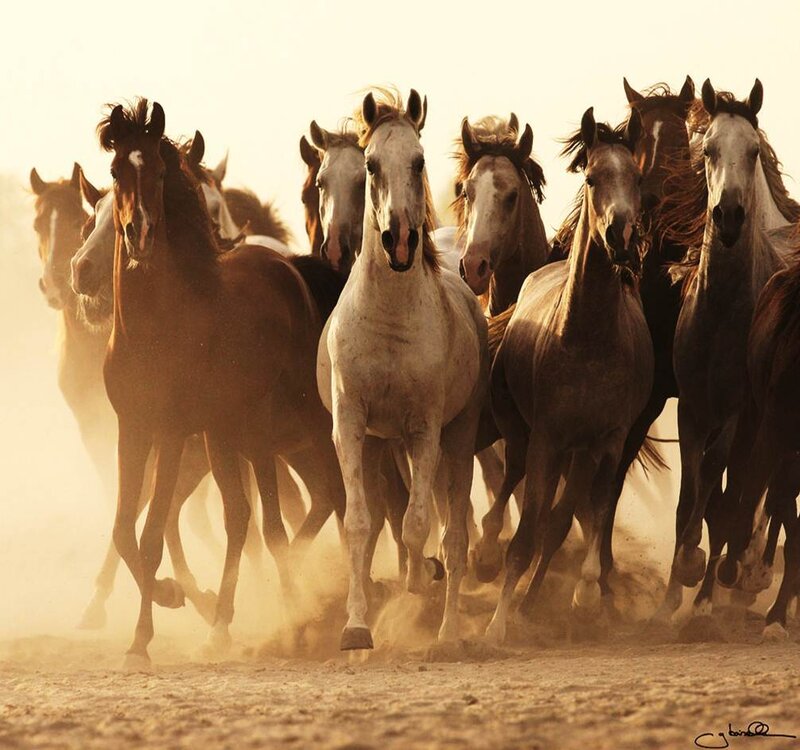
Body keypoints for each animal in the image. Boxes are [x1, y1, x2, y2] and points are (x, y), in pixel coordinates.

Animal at [98, 99, 345, 666]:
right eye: (117, 171)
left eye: (159, 172)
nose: (139, 233)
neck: (153, 330)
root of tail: (290, 268)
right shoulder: (131, 429)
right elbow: (124, 530)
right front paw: (173, 598)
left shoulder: (169, 433)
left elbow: (149, 534)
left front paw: (142, 638)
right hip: (229, 435)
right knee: (244, 517)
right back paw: (225, 623)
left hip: (299, 426)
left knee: (335, 500)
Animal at [317, 89, 489, 649]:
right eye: (371, 164)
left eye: (417, 161)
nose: (398, 240)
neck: (389, 319)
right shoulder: (352, 425)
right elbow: (360, 524)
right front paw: (355, 627)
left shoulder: (426, 427)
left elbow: (418, 525)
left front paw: (419, 582)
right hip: (384, 443)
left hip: (456, 438)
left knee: (453, 534)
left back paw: (448, 631)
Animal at [484, 107, 652, 643]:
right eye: (594, 177)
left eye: (637, 177)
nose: (620, 236)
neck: (586, 339)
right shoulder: (547, 438)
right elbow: (526, 531)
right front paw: (497, 623)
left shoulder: (608, 440)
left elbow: (591, 514)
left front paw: (584, 594)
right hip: (524, 433)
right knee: (513, 482)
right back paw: (486, 550)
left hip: (579, 452)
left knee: (559, 519)